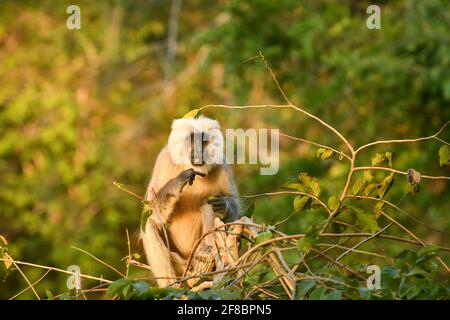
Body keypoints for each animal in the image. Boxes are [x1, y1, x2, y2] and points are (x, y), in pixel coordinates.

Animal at [141, 115, 241, 288]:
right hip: (180, 263)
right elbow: (150, 211)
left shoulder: (221, 164)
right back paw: (170, 286)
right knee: (150, 224)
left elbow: (232, 207)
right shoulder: (164, 160)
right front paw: (178, 182)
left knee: (207, 205)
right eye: (193, 140)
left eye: (204, 142)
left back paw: (208, 252)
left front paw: (224, 205)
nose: (199, 151)